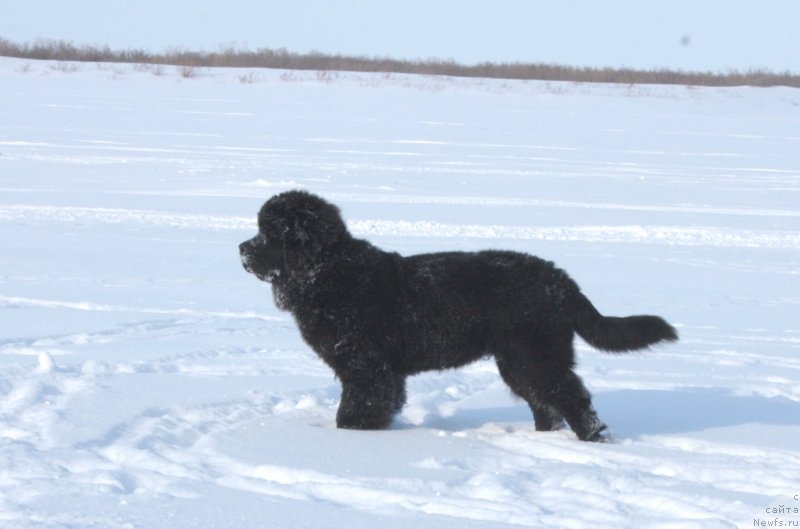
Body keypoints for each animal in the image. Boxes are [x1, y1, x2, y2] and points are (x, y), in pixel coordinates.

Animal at [241, 191, 680, 442]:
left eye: (270, 233)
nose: (242, 248)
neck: (329, 271)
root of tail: (559, 279)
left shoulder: (366, 366)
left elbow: (360, 405)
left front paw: (353, 434)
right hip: (518, 361)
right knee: (547, 405)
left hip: (534, 355)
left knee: (572, 398)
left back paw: (591, 439)